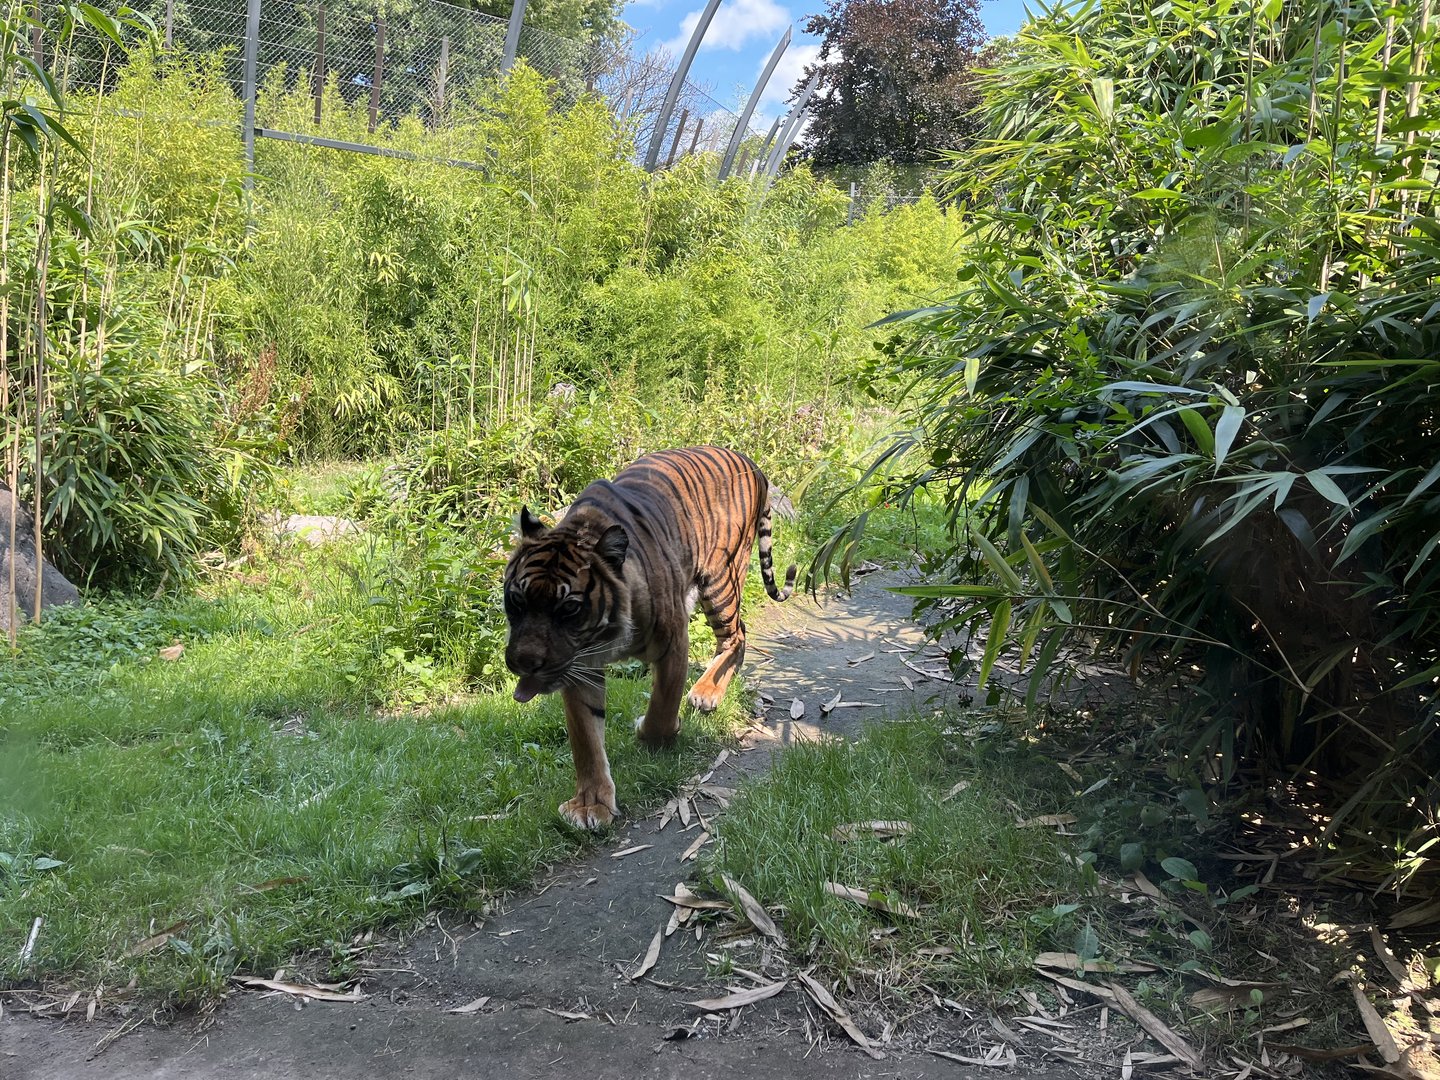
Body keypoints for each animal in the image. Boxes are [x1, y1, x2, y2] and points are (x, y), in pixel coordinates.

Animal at [503, 446, 798, 830]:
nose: (523, 663)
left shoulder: (673, 639)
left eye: (568, 608)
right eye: (516, 600)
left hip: (720, 576)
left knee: (737, 634)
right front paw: (591, 805)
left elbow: (662, 704)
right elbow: (586, 739)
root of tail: (753, 464)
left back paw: (707, 693)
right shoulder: (578, 666)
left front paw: (652, 734)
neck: (604, 635)